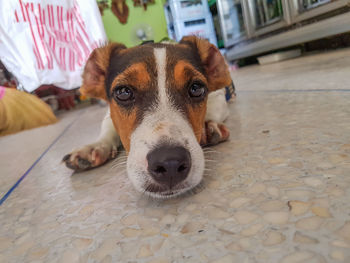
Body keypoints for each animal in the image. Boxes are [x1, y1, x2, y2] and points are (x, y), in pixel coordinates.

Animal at [63, 36, 232, 198]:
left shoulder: (219, 96)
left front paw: (208, 128)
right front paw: (94, 147)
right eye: (123, 92)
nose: (170, 163)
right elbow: (108, 128)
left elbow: (213, 109)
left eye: (196, 88)